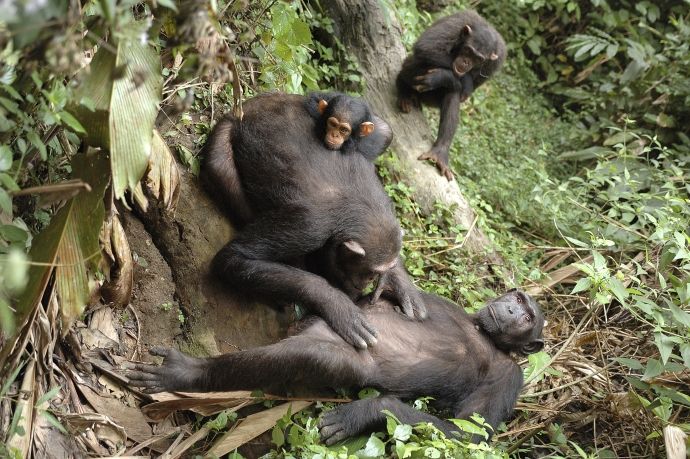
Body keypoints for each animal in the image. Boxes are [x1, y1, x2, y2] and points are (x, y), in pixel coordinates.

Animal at [129, 292, 544, 446]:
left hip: (335, 356)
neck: (487, 335)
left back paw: (187, 374)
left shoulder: (512, 378)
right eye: (517, 298)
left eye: (527, 316)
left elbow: (468, 433)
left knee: (299, 358)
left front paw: (366, 412)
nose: (511, 308)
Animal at [199, 94, 424, 352]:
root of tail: (248, 104)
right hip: (227, 130)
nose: (368, 280)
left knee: (385, 131)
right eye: (368, 271)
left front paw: (396, 281)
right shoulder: (308, 226)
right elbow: (235, 258)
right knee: (219, 168)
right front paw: (338, 305)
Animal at [396, 9, 502, 181]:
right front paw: (461, 79)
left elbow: (465, 93)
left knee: (452, 93)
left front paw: (444, 77)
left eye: (478, 58)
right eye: (468, 51)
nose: (466, 62)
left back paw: (439, 153)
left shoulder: (496, 62)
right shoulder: (454, 25)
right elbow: (427, 46)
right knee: (421, 61)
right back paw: (404, 89)